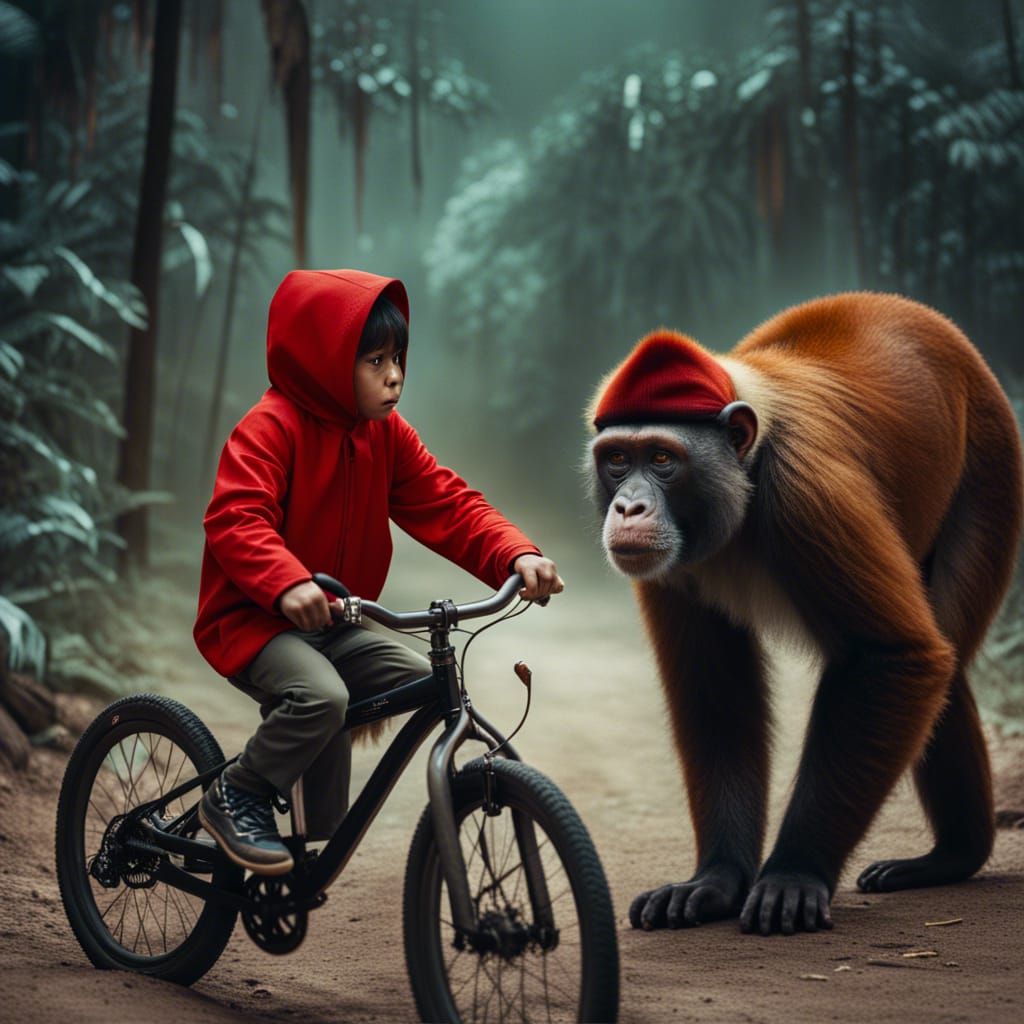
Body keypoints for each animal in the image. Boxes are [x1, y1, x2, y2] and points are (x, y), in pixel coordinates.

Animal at [589, 290, 1019, 937]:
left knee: (941, 657)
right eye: (617, 459)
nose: (628, 506)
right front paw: (716, 879)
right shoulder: (670, 565)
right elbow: (716, 693)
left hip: (991, 469)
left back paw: (953, 858)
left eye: (662, 458)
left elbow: (893, 656)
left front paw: (795, 871)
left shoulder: (808, 494)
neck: (741, 478)